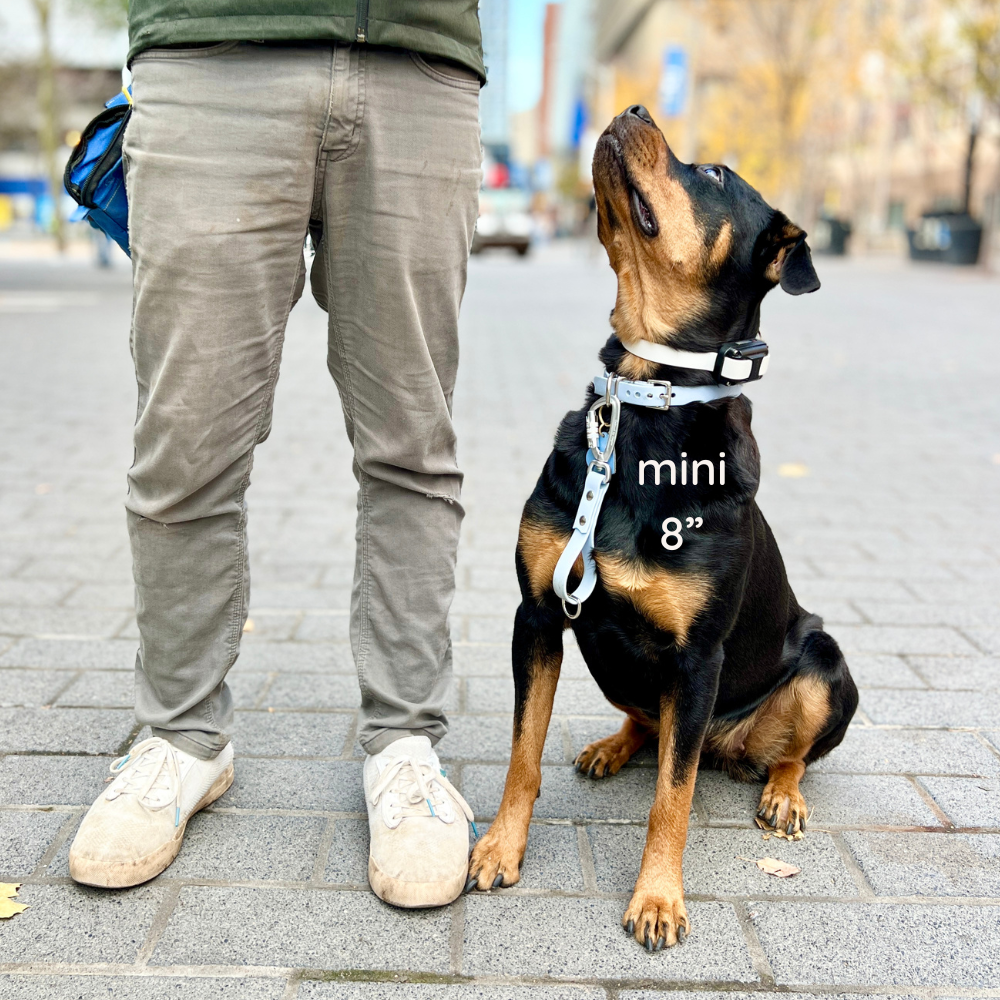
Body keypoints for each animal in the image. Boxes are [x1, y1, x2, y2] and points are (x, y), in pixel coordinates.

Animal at [468, 105, 860, 948]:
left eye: (713, 174)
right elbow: (522, 754)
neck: (645, 404)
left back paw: (782, 794)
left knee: (786, 752)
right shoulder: (537, 616)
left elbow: (671, 801)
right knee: (651, 727)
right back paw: (613, 746)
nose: (634, 110)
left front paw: (656, 900)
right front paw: (500, 848)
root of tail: (726, 745)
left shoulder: (697, 657)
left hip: (825, 663)